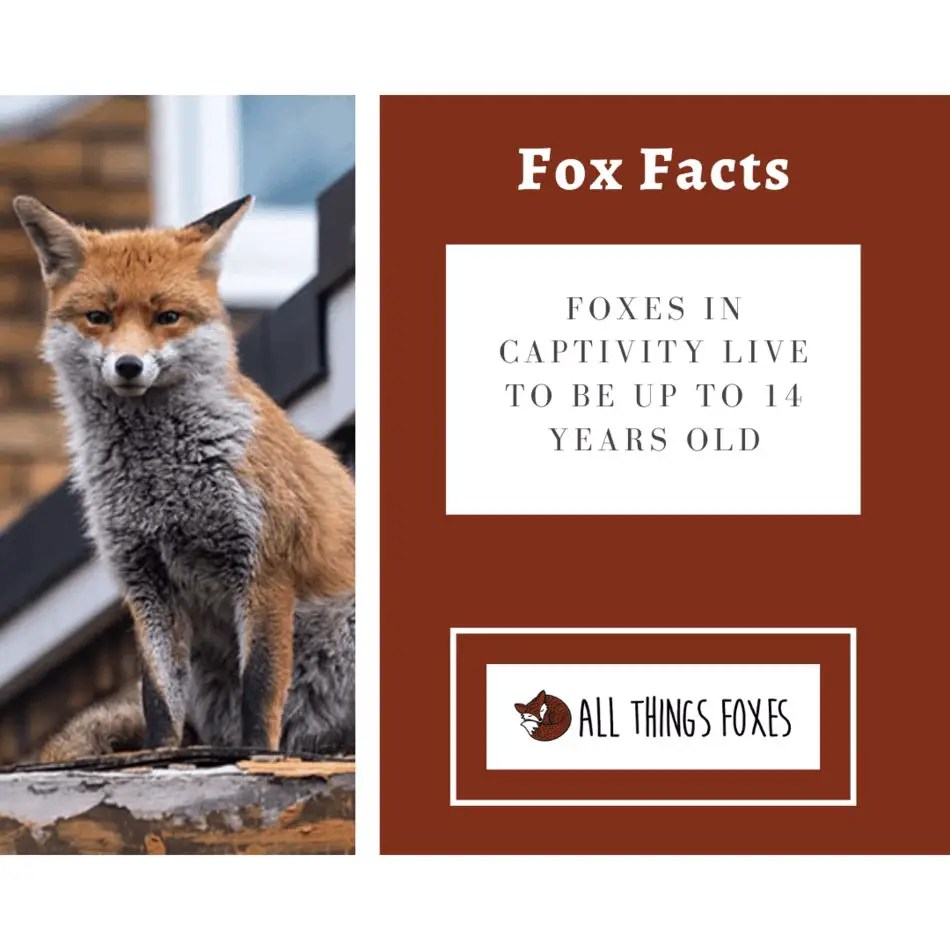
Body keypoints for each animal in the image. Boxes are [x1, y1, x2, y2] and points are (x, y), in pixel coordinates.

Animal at [13, 194, 356, 759]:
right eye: (98, 317)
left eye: (167, 317)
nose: (129, 366)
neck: (162, 484)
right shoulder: (145, 579)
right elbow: (158, 700)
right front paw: (159, 757)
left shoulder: (264, 568)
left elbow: (261, 690)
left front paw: (257, 756)